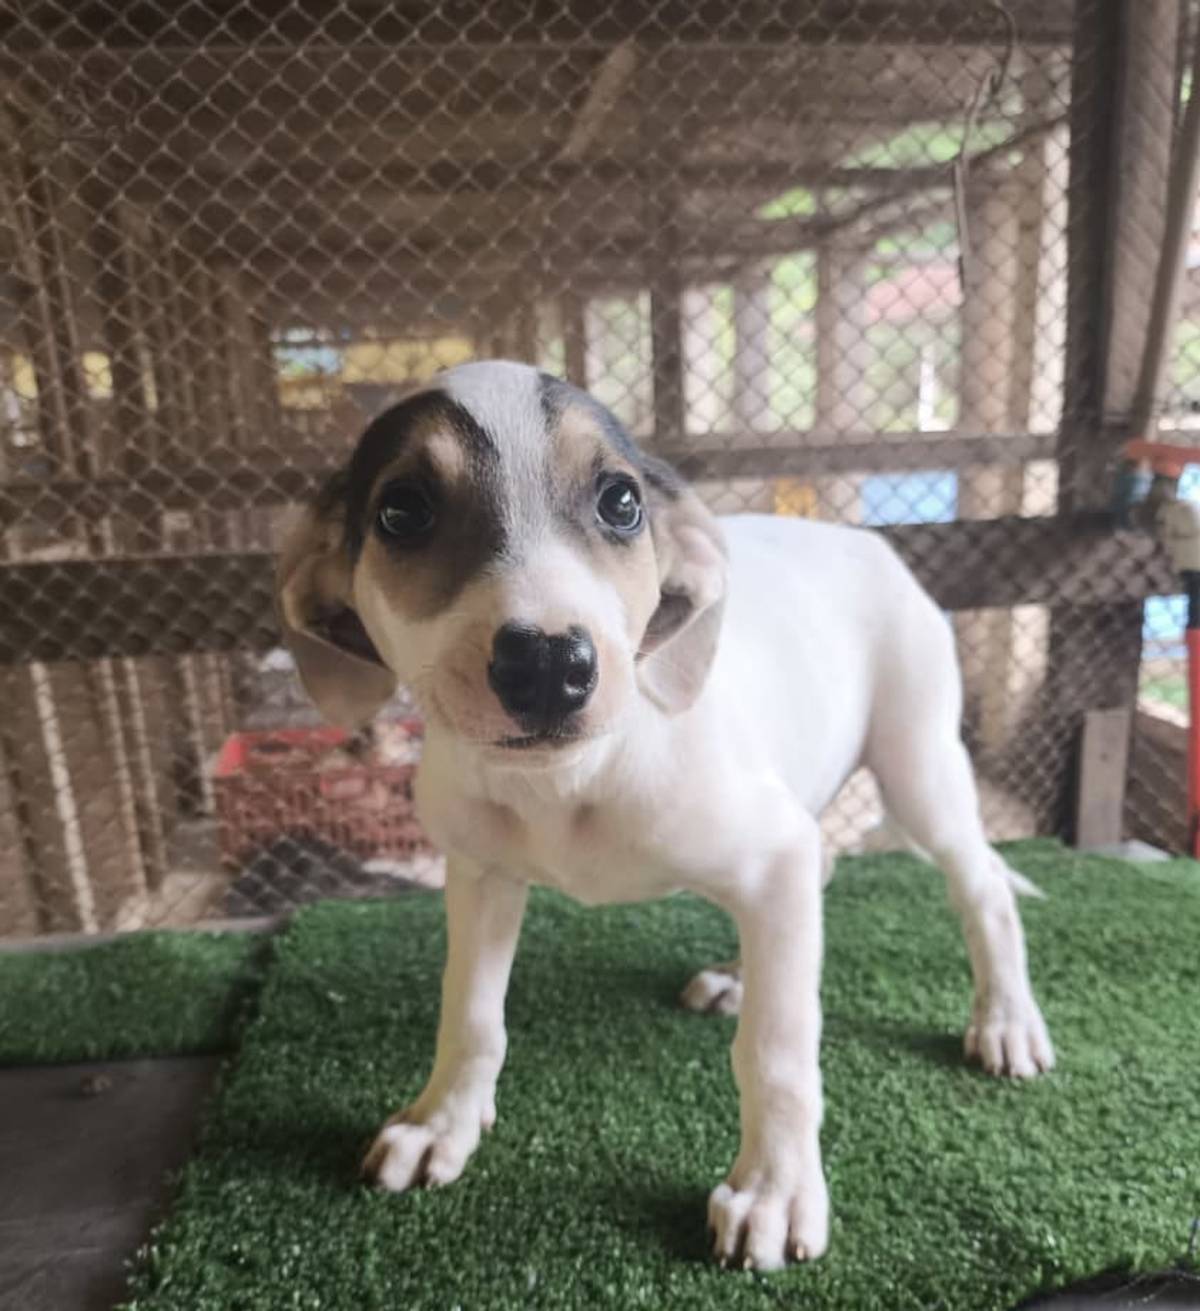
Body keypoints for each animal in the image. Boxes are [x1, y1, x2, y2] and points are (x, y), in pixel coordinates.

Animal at [276, 360, 1054, 1271]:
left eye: (621, 501)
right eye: (403, 511)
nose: (548, 663)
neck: (569, 783)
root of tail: (860, 536)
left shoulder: (772, 851)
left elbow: (777, 1047)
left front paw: (774, 1187)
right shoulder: (479, 875)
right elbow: (469, 1012)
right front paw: (442, 1120)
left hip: (919, 766)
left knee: (982, 886)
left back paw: (1005, 1020)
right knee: (823, 872)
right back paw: (742, 974)